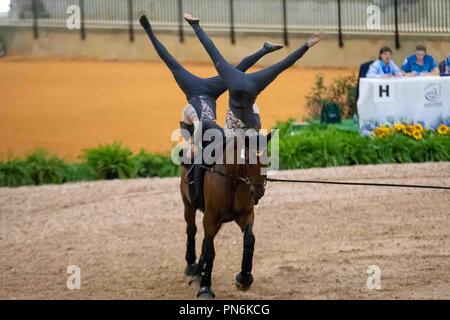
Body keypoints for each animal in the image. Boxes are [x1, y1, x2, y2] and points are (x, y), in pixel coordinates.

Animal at [178, 126, 270, 298]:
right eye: (247, 159)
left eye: (267, 159)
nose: (259, 191)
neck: (232, 179)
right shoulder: (211, 218)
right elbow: (210, 251)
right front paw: (205, 289)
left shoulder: (246, 216)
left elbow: (249, 240)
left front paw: (244, 278)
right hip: (188, 205)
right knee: (192, 230)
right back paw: (192, 266)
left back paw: (198, 274)